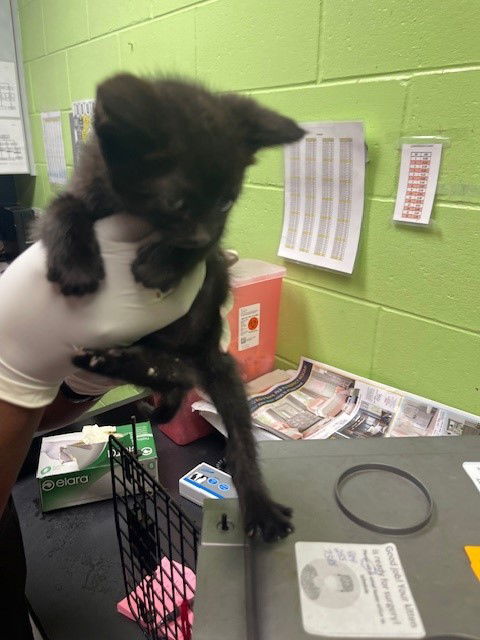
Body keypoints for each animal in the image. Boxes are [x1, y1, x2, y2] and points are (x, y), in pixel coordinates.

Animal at [43, 76, 304, 544]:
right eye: (177, 203)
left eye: (225, 203)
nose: (199, 230)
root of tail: (191, 362)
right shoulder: (87, 187)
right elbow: (63, 207)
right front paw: (75, 267)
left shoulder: (213, 245)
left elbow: (202, 251)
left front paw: (158, 263)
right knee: (165, 374)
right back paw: (105, 361)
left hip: (222, 371)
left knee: (239, 442)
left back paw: (261, 509)